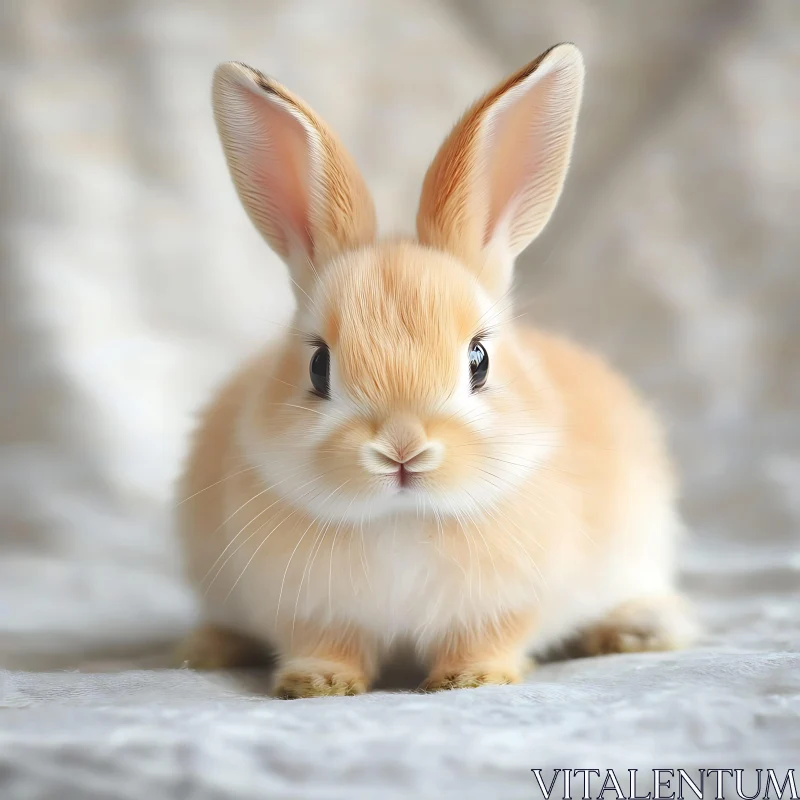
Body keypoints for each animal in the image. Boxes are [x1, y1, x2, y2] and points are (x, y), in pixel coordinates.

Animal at [173, 43, 692, 696]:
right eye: (318, 366)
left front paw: (471, 680)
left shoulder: (503, 605)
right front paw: (317, 684)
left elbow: (485, 639)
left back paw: (635, 631)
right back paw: (207, 646)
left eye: (479, 360)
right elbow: (325, 644)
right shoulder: (308, 610)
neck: (400, 520)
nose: (402, 450)